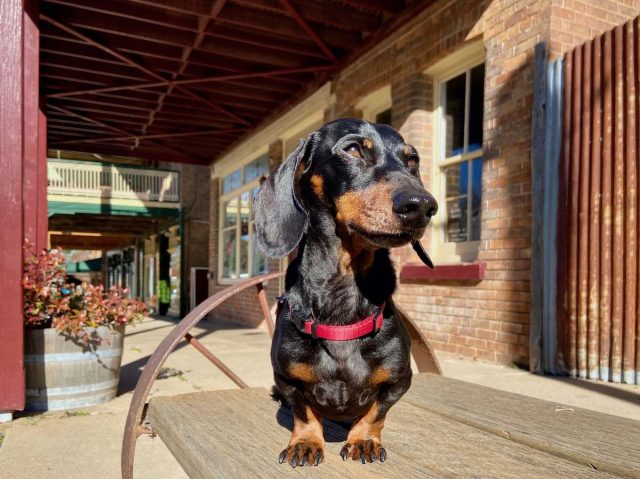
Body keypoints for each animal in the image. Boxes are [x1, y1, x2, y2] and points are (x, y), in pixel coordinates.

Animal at [252, 119, 438, 468]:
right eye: (352, 150)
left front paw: (363, 440)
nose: (422, 206)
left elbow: (375, 413)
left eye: (412, 160)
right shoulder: (287, 379)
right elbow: (304, 413)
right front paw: (305, 442)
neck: (344, 289)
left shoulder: (399, 381)